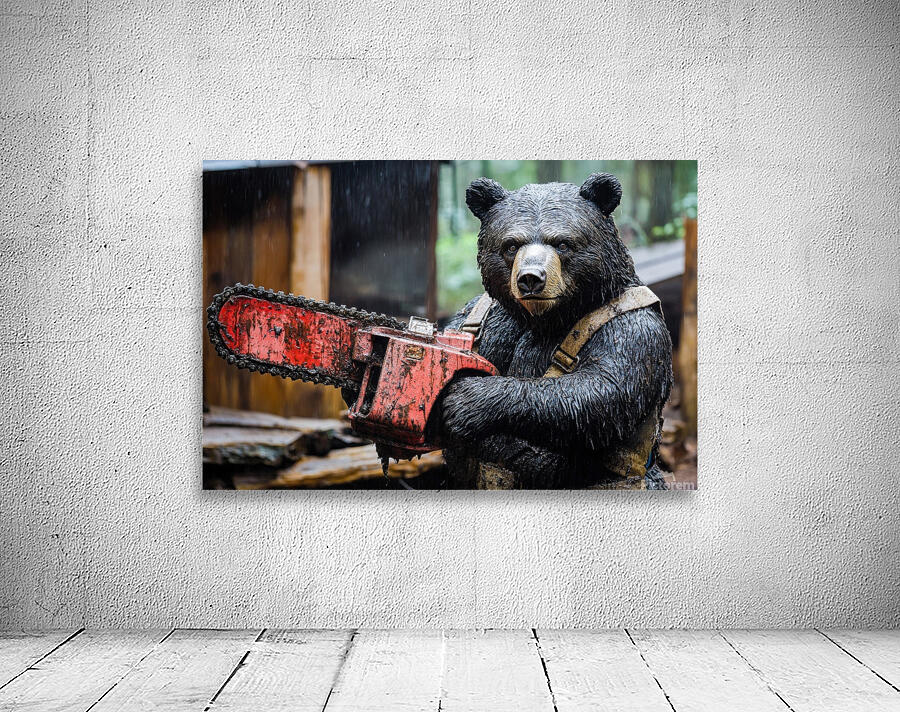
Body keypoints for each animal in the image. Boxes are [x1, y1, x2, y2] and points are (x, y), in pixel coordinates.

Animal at [434, 173, 674, 489]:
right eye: (511, 245)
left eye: (562, 243)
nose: (531, 279)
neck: (546, 319)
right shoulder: (486, 317)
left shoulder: (630, 328)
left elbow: (601, 390)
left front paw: (467, 399)